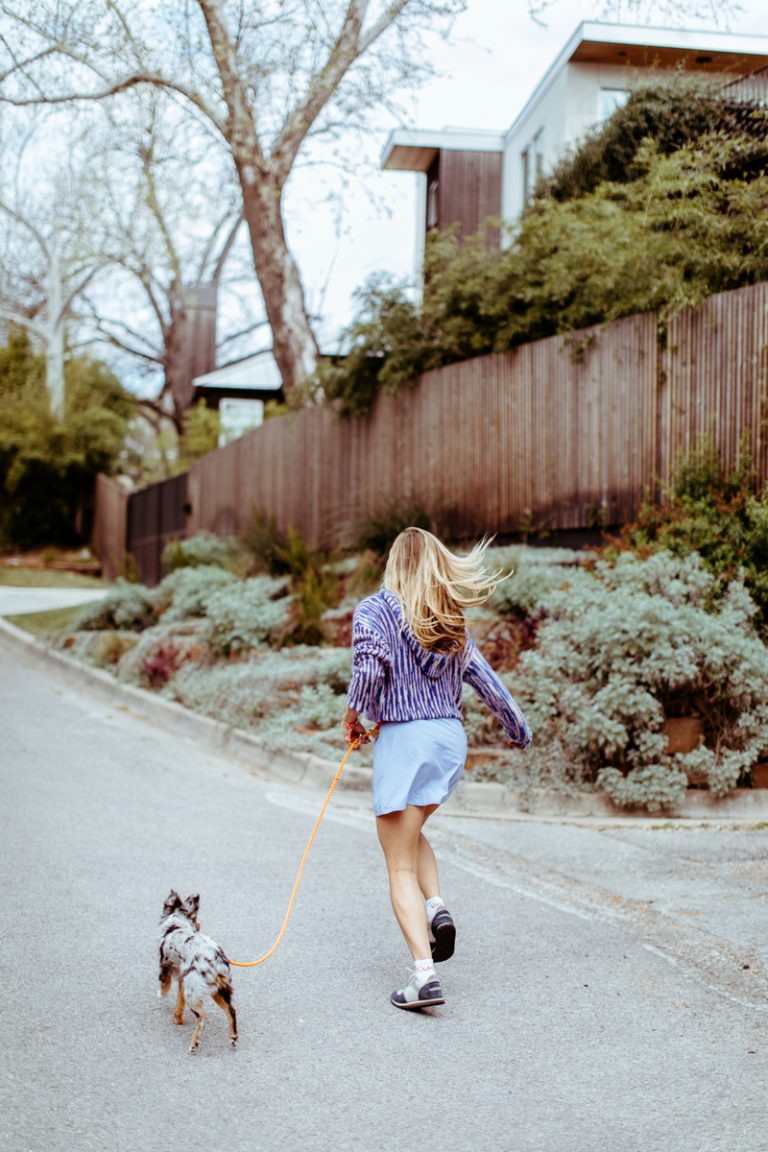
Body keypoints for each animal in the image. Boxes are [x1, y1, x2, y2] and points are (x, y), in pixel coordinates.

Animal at [158, 889, 237, 1055]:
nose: (199, 926)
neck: (177, 926)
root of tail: (216, 961)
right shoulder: (182, 979)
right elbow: (179, 1002)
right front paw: (178, 1019)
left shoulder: (165, 964)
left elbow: (164, 983)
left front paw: (162, 994)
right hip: (217, 991)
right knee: (231, 1011)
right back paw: (233, 1038)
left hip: (194, 992)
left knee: (202, 1016)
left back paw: (194, 1044)